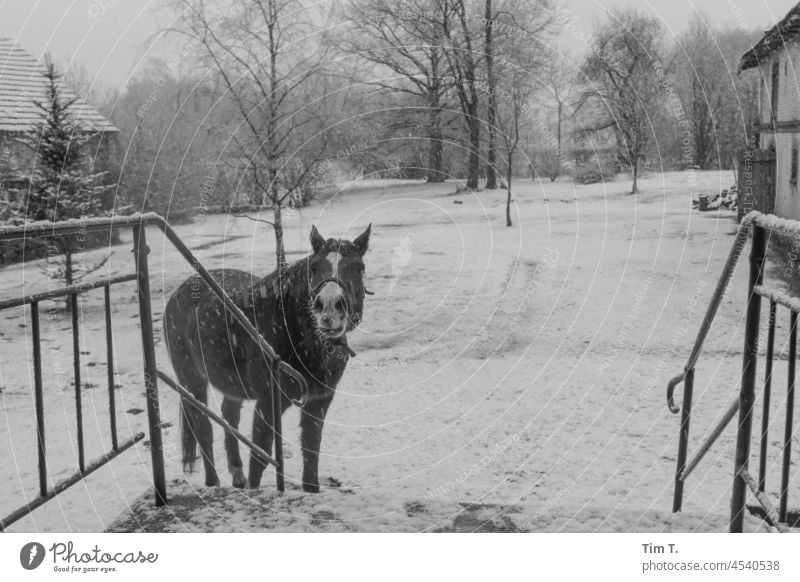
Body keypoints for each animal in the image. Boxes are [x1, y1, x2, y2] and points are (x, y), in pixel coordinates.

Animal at [163, 225, 376, 492]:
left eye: (359, 267)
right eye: (314, 267)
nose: (329, 308)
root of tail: (178, 293)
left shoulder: (319, 402)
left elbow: (311, 452)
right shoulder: (268, 402)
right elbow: (261, 455)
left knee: (229, 418)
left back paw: (237, 477)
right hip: (193, 382)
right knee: (204, 428)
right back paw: (213, 483)